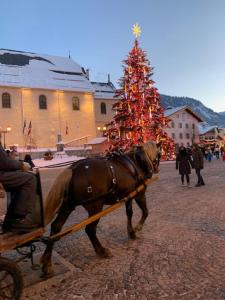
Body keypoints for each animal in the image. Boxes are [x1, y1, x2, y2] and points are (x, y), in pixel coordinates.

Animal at [40, 141, 160, 276]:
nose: (156, 170)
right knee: (90, 229)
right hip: (95, 206)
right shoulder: (139, 193)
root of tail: (73, 169)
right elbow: (145, 211)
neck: (136, 161)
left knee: (56, 228)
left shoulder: (128, 196)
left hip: (68, 206)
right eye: (159, 155)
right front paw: (137, 228)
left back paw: (47, 263)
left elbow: (129, 213)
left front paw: (131, 232)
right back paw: (102, 251)